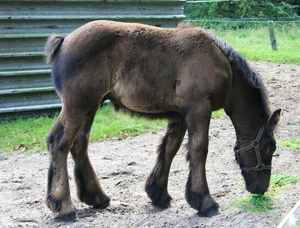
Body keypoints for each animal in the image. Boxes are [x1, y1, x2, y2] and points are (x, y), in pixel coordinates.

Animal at [44, 20, 282, 221]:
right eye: (270, 148)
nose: (261, 188)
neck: (221, 63)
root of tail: (65, 41)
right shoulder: (198, 108)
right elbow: (198, 150)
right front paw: (204, 201)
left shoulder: (179, 115)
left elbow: (169, 148)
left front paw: (158, 194)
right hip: (78, 107)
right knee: (59, 144)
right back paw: (64, 206)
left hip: (89, 106)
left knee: (78, 144)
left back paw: (96, 197)